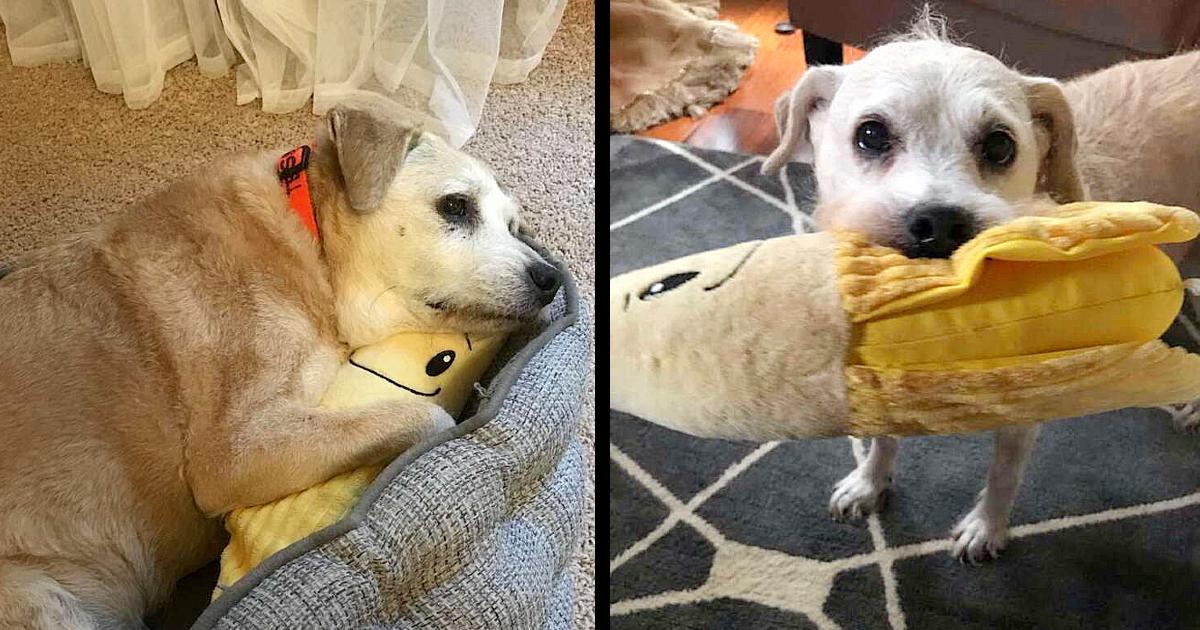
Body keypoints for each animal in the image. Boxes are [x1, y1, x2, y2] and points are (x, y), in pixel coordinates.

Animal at [0, 100, 556, 624]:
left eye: (513, 226)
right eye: (456, 206)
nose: (550, 278)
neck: (313, 250)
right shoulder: (234, 453)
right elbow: (426, 416)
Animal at [763, 13, 1200, 559]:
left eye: (999, 144)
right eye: (871, 134)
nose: (938, 224)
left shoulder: (1025, 411)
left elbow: (1004, 474)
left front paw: (986, 528)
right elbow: (883, 440)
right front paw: (868, 483)